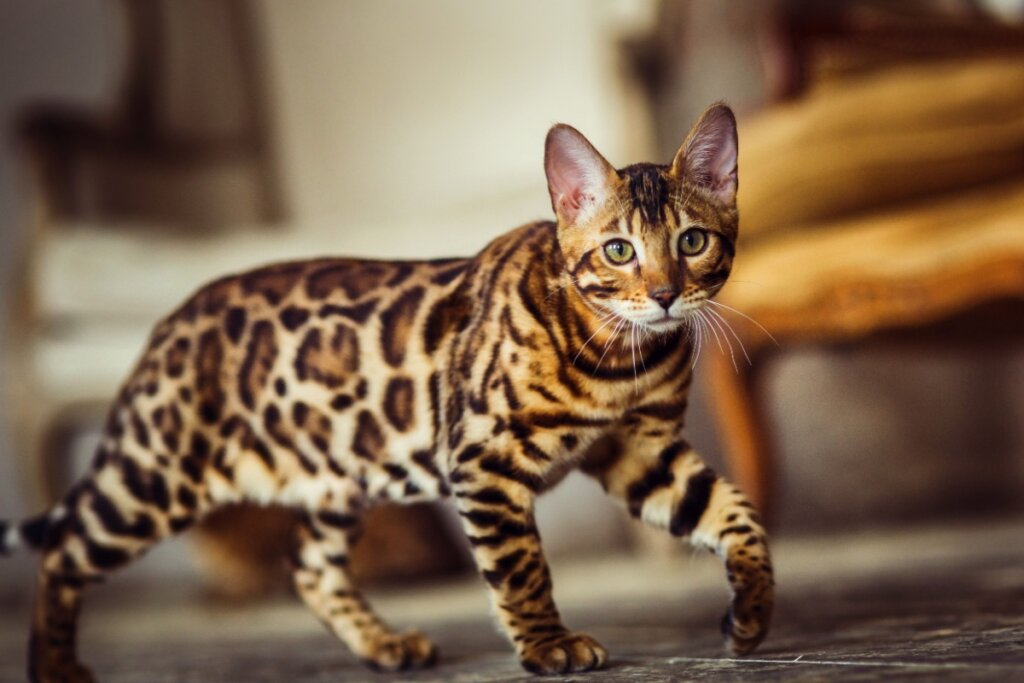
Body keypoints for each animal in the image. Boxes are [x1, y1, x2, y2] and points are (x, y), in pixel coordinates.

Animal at [0, 104, 770, 679]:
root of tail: (166, 325)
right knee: (63, 545)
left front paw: (752, 610)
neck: (622, 357)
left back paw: (383, 644)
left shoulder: (642, 449)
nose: (666, 295)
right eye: (618, 251)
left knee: (308, 568)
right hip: (153, 477)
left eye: (693, 241)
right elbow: (520, 564)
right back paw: (53, 665)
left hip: (333, 478)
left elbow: (739, 516)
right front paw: (548, 644)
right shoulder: (483, 458)